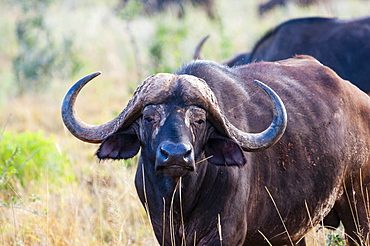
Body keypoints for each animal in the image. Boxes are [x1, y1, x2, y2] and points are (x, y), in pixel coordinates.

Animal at [62, 54, 368, 245]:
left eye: (199, 120)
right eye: (149, 118)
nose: (176, 155)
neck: (181, 200)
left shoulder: (225, 234)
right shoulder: (164, 233)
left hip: (358, 212)